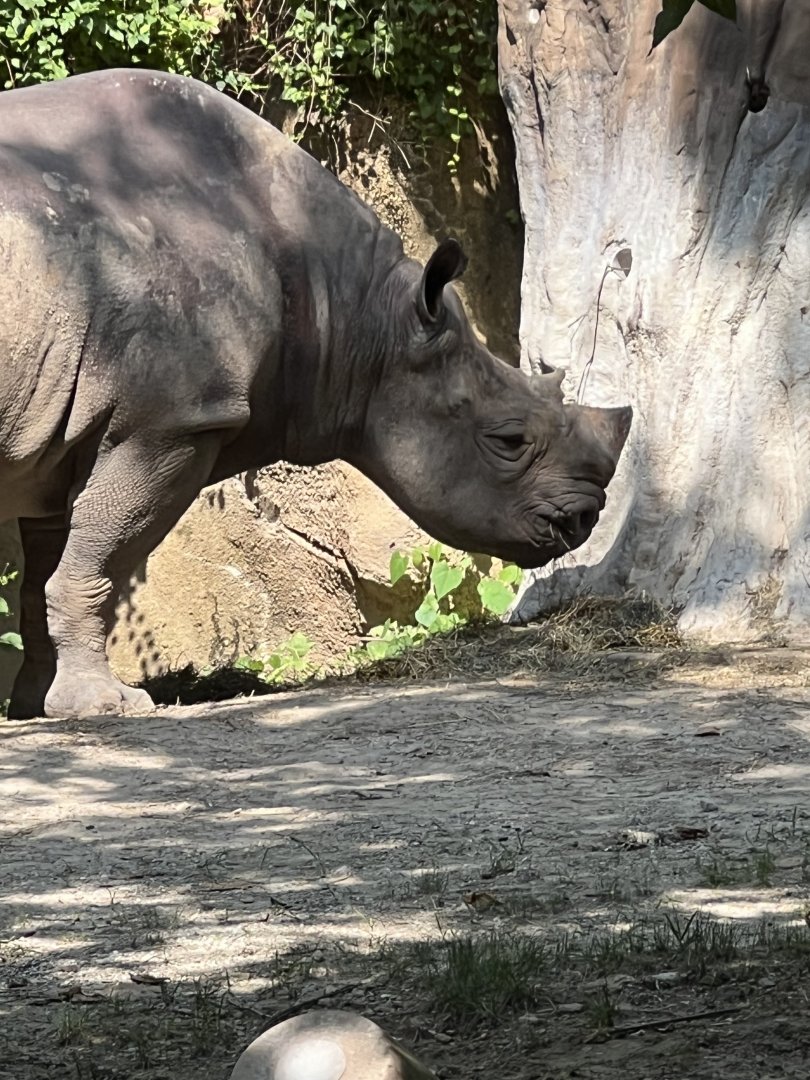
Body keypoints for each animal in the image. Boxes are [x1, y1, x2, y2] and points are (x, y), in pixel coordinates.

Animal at [0, 69, 631, 720]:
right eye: (509, 440)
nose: (585, 518)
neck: (361, 316)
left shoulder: (73, 434)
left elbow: (49, 568)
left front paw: (36, 707)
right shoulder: (168, 423)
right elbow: (98, 562)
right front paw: (107, 707)